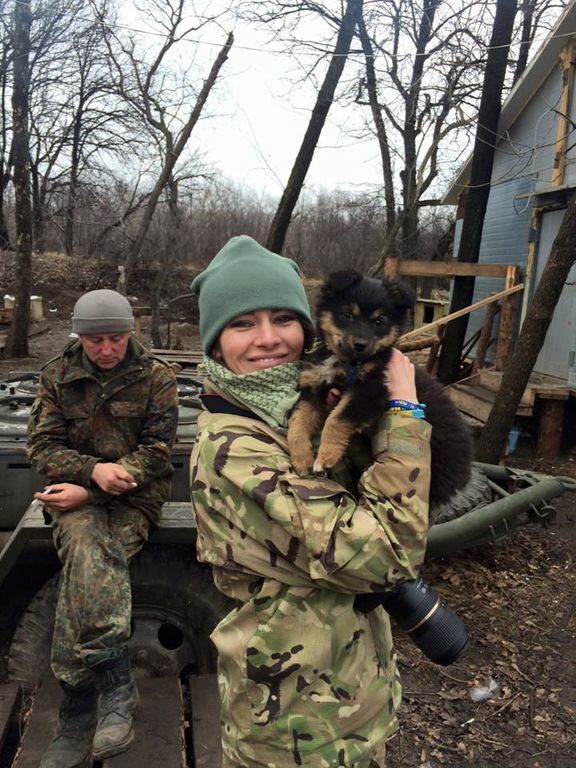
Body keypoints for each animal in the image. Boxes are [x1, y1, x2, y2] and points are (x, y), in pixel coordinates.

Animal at [288, 270, 472, 510]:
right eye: (347, 315)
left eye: (379, 321)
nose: (360, 344)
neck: (348, 362)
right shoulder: (313, 388)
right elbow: (297, 422)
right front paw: (301, 458)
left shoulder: (369, 391)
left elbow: (336, 420)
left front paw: (325, 457)